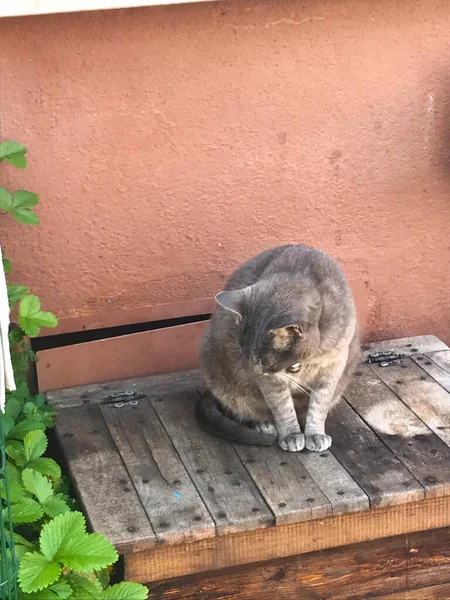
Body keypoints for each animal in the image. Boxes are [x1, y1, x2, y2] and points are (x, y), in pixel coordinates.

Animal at [199, 244, 360, 450]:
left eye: (264, 362)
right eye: (249, 358)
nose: (256, 371)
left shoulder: (335, 363)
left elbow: (320, 403)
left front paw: (315, 434)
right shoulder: (271, 382)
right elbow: (281, 407)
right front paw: (291, 435)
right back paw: (265, 424)